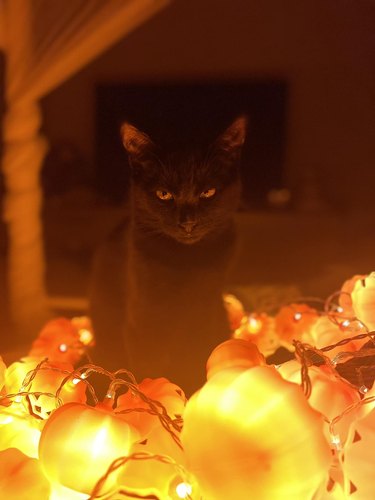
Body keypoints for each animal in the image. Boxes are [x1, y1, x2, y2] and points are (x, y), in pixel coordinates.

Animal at [90, 117, 248, 394]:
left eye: (207, 192)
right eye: (164, 194)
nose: (188, 223)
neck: (185, 262)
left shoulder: (205, 311)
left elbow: (196, 357)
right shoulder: (143, 318)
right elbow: (149, 367)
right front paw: (152, 398)